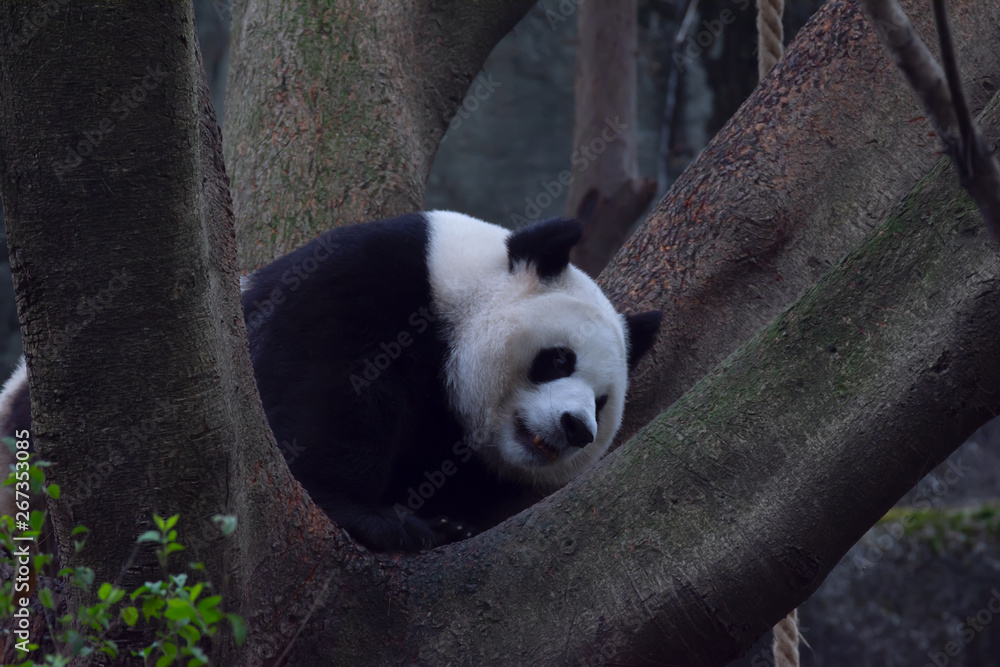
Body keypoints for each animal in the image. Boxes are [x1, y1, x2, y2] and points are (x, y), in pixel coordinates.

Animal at [1, 211, 660, 552]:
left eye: (603, 401)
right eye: (557, 360)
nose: (576, 427)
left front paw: (448, 519)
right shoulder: (370, 281)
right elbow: (327, 396)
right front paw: (380, 518)